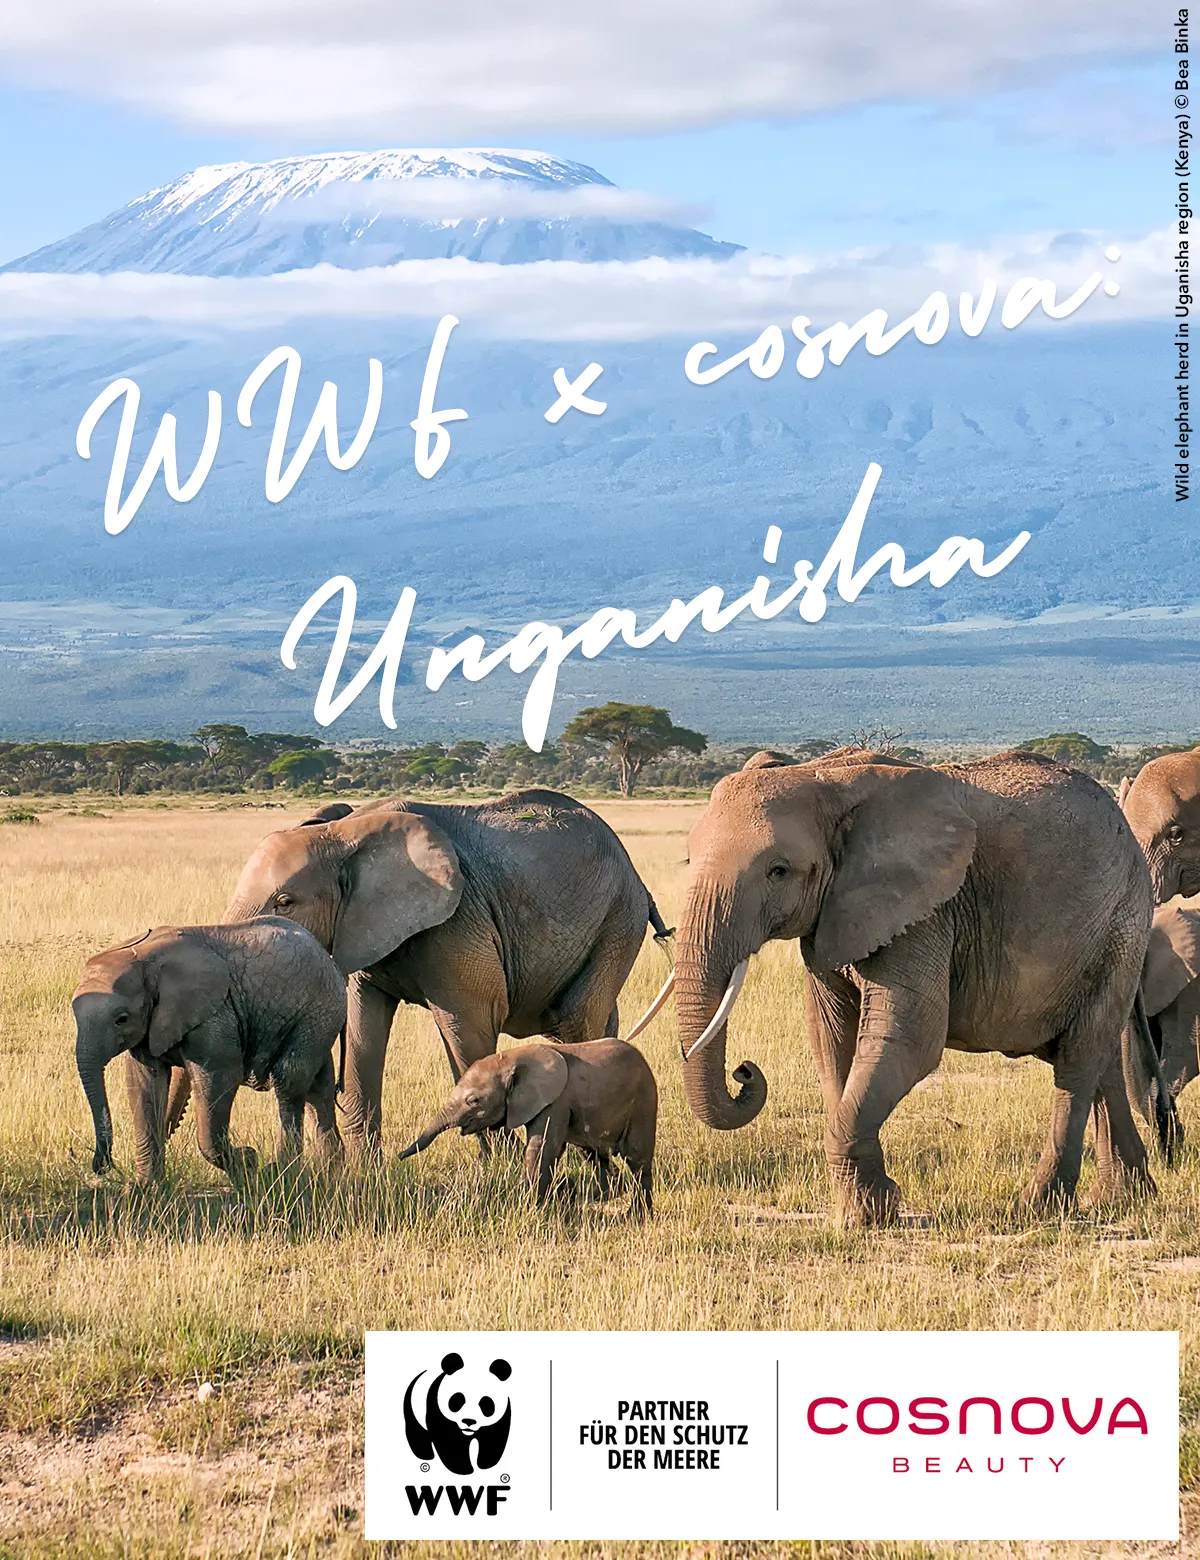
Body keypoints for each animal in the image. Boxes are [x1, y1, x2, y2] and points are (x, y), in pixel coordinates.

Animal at [73, 911, 346, 1179]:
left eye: (122, 1019)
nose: (103, 1165)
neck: (144, 957)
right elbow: (144, 1085)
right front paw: (143, 1187)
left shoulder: (216, 1016)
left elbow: (219, 1078)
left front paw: (247, 1161)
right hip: (319, 1019)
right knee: (318, 1087)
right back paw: (331, 1173)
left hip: (318, 1010)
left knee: (289, 1080)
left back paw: (282, 1173)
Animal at [224, 792, 664, 1148]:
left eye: (285, 901)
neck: (344, 832)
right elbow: (363, 1024)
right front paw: (366, 1175)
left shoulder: (459, 922)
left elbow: (468, 1026)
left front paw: (501, 1178)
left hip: (619, 918)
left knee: (577, 1018)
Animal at [396, 1042, 655, 1210]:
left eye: (474, 1101)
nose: (397, 1156)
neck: (513, 1058)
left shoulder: (555, 1101)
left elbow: (542, 1148)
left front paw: (529, 1208)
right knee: (594, 1154)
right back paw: (600, 1196)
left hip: (643, 1103)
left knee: (637, 1158)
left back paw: (637, 1215)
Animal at [646, 748, 1173, 1223]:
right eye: (688, 859)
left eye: (779, 871)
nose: (745, 1072)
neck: (826, 777)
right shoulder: (834, 915)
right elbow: (831, 1041)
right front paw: (865, 1210)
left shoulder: (926, 912)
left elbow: (908, 1040)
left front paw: (873, 1211)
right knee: (1096, 1057)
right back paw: (1124, 1198)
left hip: (1121, 924)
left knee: (1078, 1060)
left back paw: (1040, 1208)